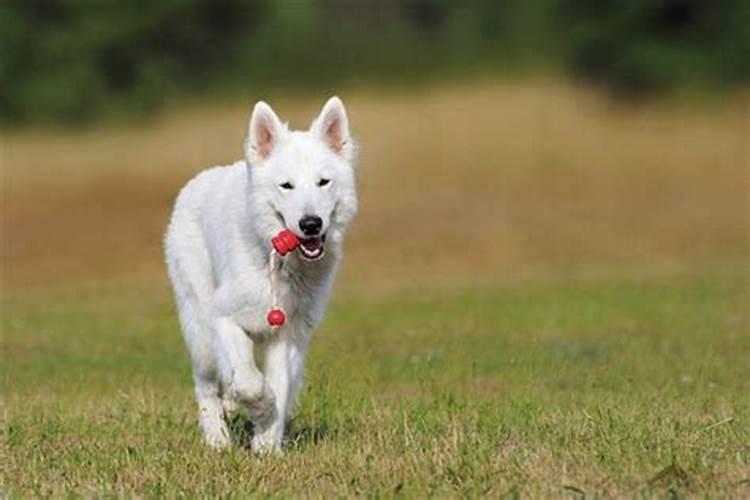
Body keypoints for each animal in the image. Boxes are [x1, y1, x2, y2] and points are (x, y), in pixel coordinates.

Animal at [166, 97, 360, 454]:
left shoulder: (287, 335)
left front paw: (267, 444)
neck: (280, 262)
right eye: (286, 186)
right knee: (206, 386)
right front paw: (259, 409)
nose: (310, 224)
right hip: (200, 330)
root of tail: (197, 181)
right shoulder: (224, 318)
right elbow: (249, 382)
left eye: (323, 182)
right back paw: (216, 439)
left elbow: (279, 385)